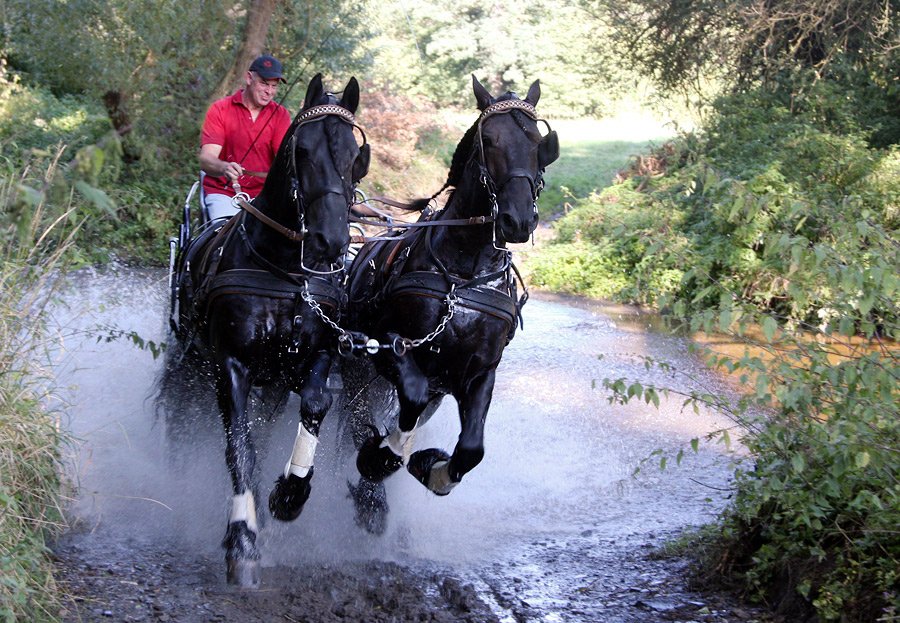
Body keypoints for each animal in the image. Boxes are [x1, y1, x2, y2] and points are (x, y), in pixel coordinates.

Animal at [167, 75, 368, 588]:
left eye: (354, 154)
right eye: (303, 150)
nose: (331, 240)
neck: (283, 271)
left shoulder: (314, 357)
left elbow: (314, 405)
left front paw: (290, 493)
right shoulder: (230, 365)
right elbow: (240, 446)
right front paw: (242, 536)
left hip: (273, 379)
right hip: (190, 358)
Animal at [342, 74, 556, 532]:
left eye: (537, 141)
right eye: (489, 139)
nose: (517, 219)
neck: (464, 273)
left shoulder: (478, 373)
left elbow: (472, 447)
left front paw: (432, 469)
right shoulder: (390, 345)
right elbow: (410, 399)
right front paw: (382, 456)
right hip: (355, 369)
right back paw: (371, 490)